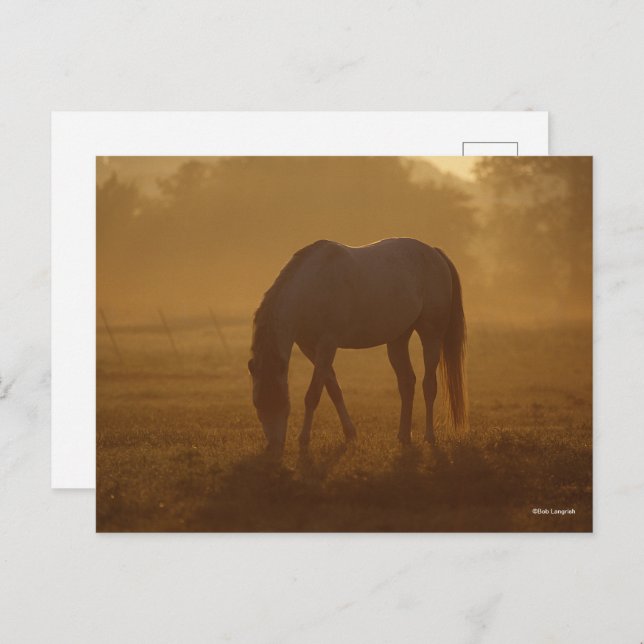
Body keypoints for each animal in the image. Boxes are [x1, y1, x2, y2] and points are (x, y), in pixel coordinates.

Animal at [248, 238, 467, 454]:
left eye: (282, 402)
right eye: (257, 403)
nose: (274, 444)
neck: (312, 287)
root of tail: (435, 253)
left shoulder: (327, 344)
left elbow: (313, 394)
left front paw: (304, 439)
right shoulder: (309, 348)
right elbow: (333, 389)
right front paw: (350, 433)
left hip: (431, 335)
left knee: (428, 385)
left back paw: (429, 436)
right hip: (398, 339)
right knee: (407, 383)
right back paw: (404, 436)